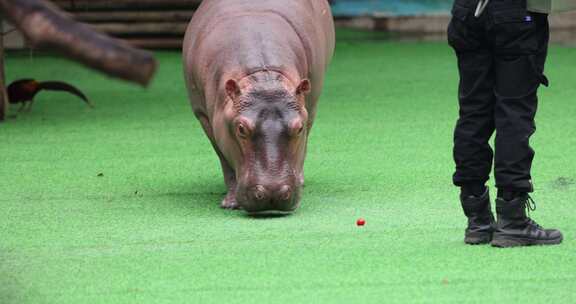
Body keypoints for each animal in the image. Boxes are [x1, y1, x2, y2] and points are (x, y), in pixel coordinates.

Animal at [184, 0, 336, 214]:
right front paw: (230, 204)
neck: (264, 78)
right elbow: (225, 160)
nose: (273, 193)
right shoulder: (205, 117)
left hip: (313, 101)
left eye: (299, 128)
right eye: (241, 128)